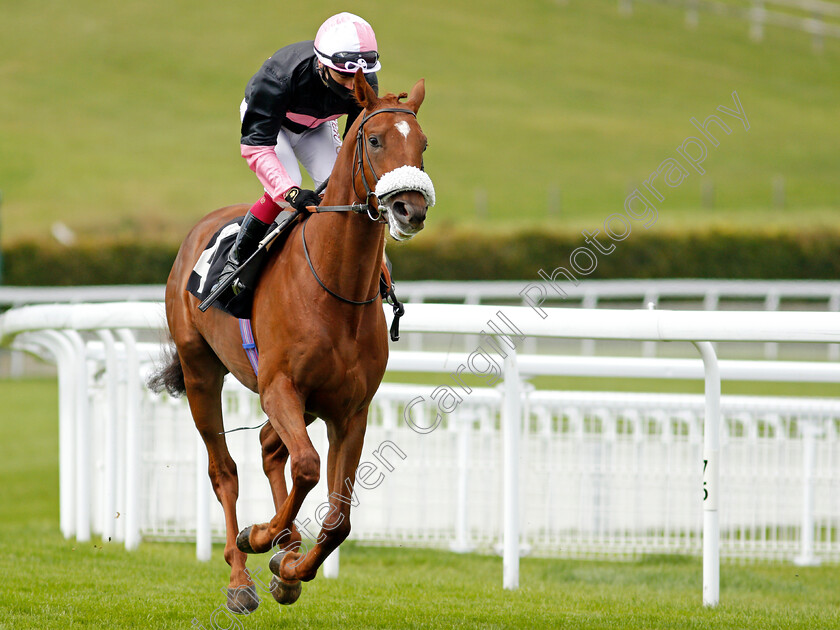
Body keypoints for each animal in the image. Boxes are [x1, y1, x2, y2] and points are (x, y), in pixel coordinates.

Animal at [153, 73, 434, 612]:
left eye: (424, 144)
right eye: (374, 140)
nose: (411, 209)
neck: (335, 289)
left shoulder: (350, 409)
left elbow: (340, 518)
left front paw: (290, 570)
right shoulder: (279, 386)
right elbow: (306, 466)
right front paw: (259, 538)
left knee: (268, 447)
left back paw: (286, 549)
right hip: (202, 373)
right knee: (225, 469)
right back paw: (240, 576)